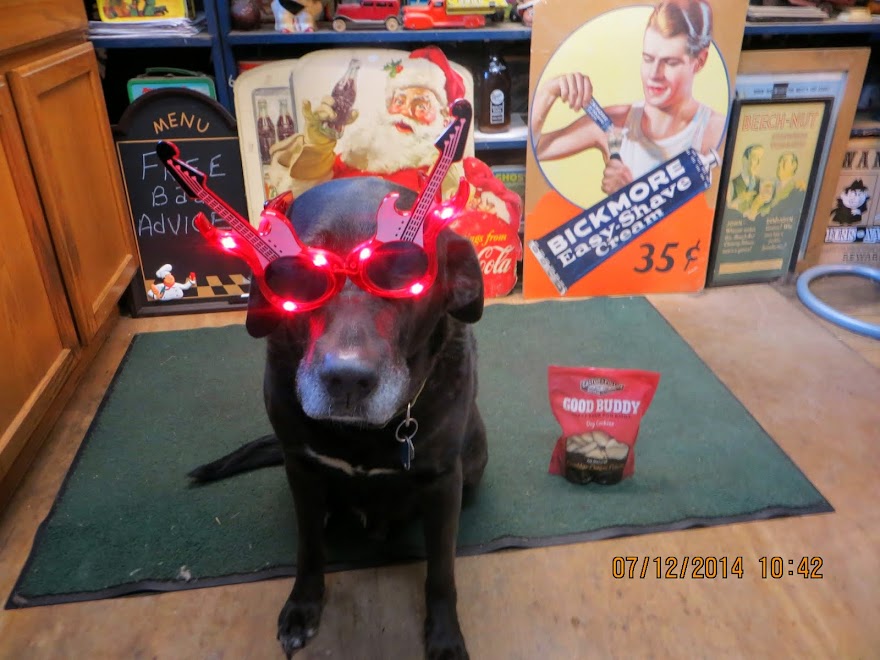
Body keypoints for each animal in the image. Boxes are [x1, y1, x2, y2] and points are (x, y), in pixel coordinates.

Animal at [190, 178, 488, 656]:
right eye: (299, 276)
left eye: (405, 272)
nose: (347, 379)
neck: (363, 434)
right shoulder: (301, 469)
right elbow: (308, 548)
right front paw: (303, 607)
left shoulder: (443, 480)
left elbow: (441, 573)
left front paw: (444, 637)